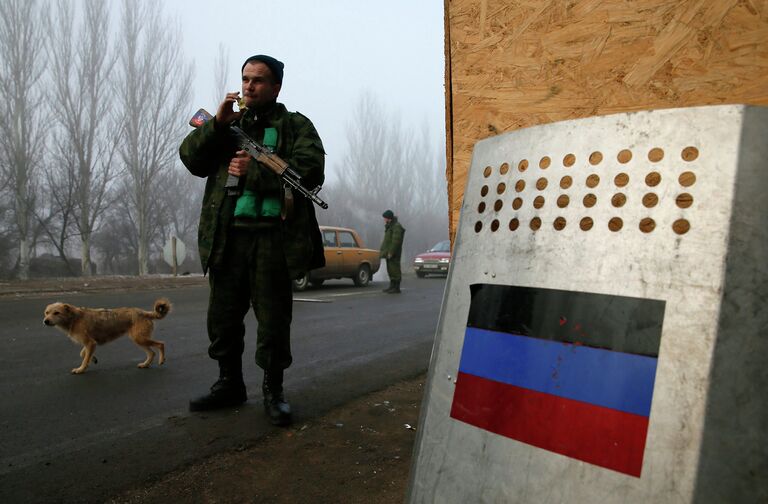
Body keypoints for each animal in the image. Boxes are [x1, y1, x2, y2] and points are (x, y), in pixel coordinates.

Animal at [44, 300, 173, 374]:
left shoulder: (90, 342)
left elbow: (84, 358)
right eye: (46, 312)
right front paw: (93, 359)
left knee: (161, 344)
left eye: (56, 313)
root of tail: (143, 312)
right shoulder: (90, 343)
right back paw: (145, 364)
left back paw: (161, 360)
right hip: (139, 340)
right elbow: (83, 354)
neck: (74, 318)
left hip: (140, 338)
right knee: (152, 353)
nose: (45, 321)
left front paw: (81, 369)